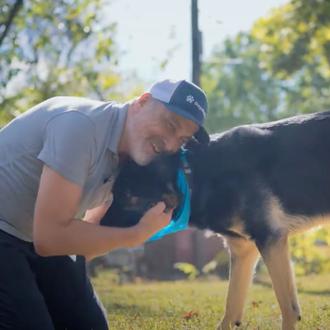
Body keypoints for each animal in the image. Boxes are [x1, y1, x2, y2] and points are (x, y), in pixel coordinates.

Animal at [101, 111, 330, 330]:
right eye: (113, 193)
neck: (194, 176)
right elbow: (231, 307)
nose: (98, 226)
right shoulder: (244, 250)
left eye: (126, 195)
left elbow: (288, 309)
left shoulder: (270, 239)